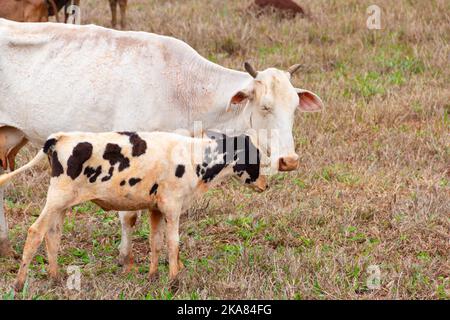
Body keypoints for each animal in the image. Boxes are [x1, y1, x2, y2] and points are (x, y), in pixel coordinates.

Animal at [0, 20, 324, 264]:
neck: (183, 89)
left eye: (295, 107)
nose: (289, 160)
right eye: (265, 107)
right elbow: (129, 215)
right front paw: (126, 259)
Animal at [0, 130, 268, 290]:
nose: (266, 184)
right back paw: (19, 284)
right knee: (35, 232)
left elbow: (155, 242)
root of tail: (61, 137)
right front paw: (174, 281)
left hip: (62, 204)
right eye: (255, 156)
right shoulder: (172, 206)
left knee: (53, 236)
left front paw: (153, 276)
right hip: (57, 198)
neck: (195, 158)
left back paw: (55, 278)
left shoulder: (156, 208)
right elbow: (173, 243)